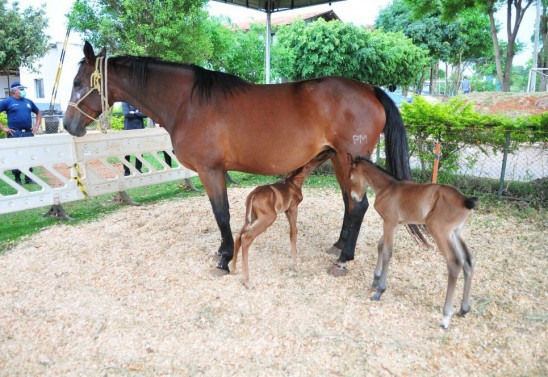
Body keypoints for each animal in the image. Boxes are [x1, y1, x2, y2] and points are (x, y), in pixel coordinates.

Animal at [229, 148, 332, 286]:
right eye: (317, 156)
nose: (330, 151)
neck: (294, 181)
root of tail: (253, 194)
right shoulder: (293, 207)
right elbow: (294, 232)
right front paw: (295, 266)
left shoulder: (286, 211)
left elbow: (292, 232)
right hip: (269, 218)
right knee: (246, 237)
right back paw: (246, 281)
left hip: (251, 217)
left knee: (238, 236)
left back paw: (233, 268)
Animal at [348, 154, 478, 328]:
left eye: (350, 176)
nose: (354, 197)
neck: (388, 188)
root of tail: (464, 199)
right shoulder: (395, 223)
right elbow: (381, 245)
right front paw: (375, 279)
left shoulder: (389, 221)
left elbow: (387, 252)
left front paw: (379, 291)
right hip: (455, 233)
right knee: (468, 261)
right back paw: (463, 309)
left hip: (439, 231)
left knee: (454, 263)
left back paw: (445, 317)